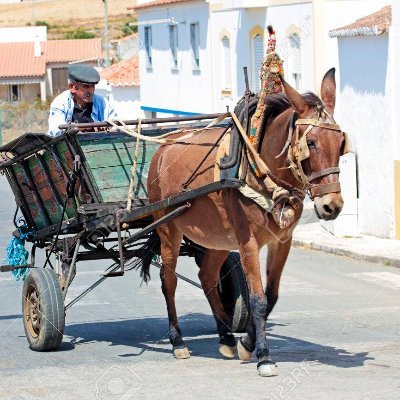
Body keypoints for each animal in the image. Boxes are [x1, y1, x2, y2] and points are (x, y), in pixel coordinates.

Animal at [147, 69, 346, 376]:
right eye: (310, 143)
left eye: (340, 143)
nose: (331, 205)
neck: (259, 169)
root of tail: (163, 147)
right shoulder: (248, 243)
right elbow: (257, 299)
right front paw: (263, 356)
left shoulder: (282, 241)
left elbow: (270, 296)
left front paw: (246, 343)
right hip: (168, 229)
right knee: (169, 282)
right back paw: (178, 341)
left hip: (217, 238)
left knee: (207, 277)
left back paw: (227, 337)